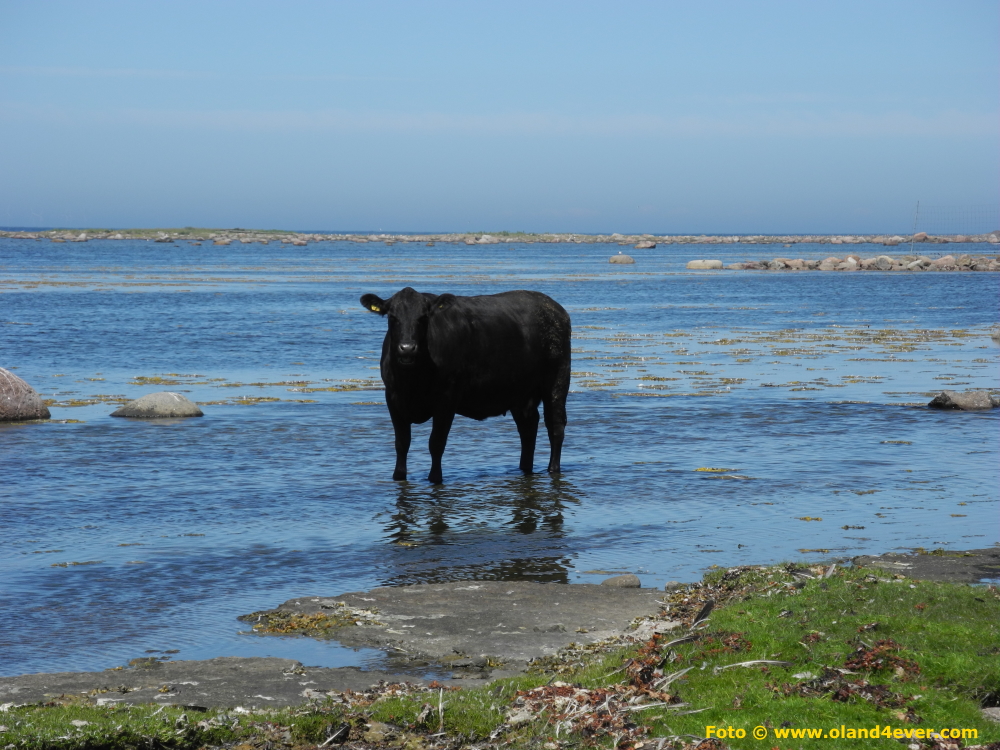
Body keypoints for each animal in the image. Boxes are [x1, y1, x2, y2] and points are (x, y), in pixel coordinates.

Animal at [360, 284, 572, 484]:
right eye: (392, 317)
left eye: (423, 317)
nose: (407, 348)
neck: (412, 382)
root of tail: (554, 307)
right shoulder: (393, 398)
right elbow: (402, 442)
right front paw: (398, 476)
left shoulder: (447, 399)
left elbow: (436, 442)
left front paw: (435, 478)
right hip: (520, 394)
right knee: (528, 428)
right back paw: (525, 468)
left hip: (557, 381)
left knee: (555, 427)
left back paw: (553, 469)